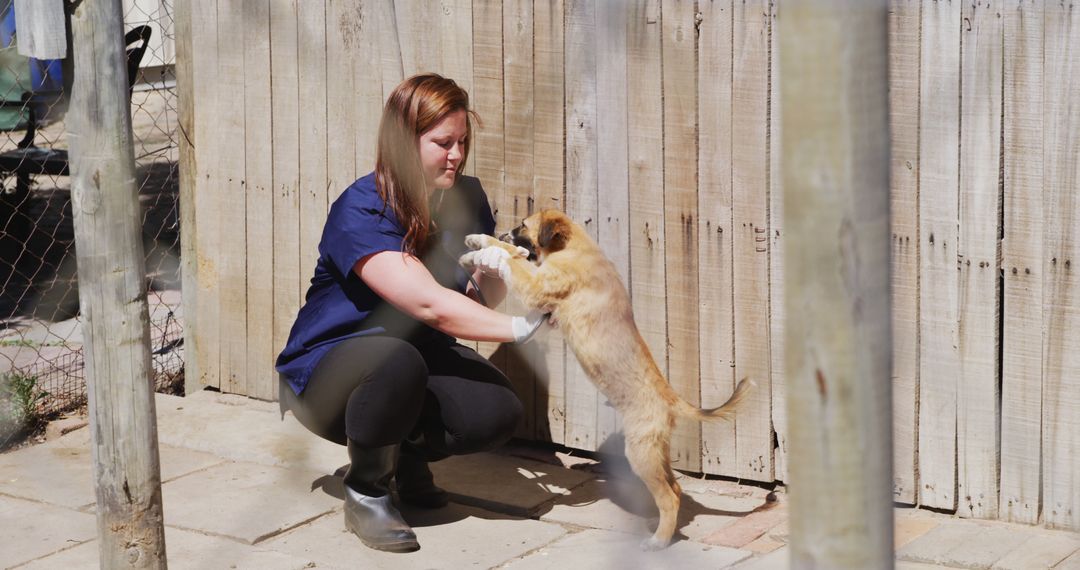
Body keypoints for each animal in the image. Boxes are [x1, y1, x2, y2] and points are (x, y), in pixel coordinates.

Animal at [460, 208, 756, 548]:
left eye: (523, 225)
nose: (505, 231)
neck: (574, 248)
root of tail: (671, 399)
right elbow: (510, 255)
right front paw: (478, 245)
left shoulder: (537, 285)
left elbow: (510, 260)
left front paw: (488, 249)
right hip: (657, 449)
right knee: (677, 488)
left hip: (640, 452)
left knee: (670, 496)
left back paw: (658, 541)